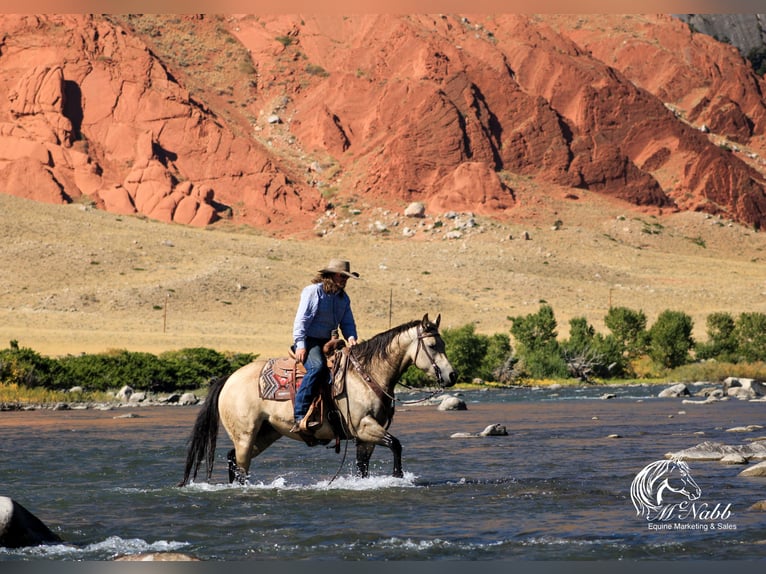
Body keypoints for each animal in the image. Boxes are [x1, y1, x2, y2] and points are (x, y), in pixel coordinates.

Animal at [180, 316, 456, 486]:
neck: (367, 374)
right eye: (433, 345)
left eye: (443, 343)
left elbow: (363, 466)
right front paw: (398, 476)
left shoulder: (365, 436)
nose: (451, 375)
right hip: (245, 435)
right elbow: (396, 444)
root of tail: (229, 379)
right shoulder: (364, 426)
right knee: (240, 465)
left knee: (232, 459)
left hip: (266, 433)